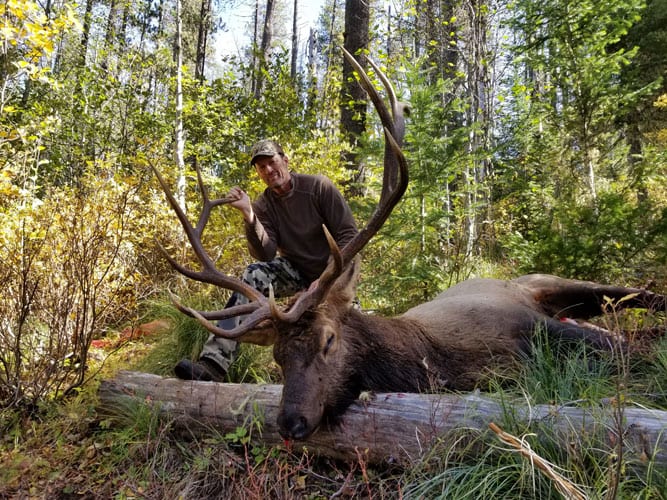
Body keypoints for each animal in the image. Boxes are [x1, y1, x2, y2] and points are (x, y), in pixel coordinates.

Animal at [152, 49, 667, 441]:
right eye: (277, 357)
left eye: (329, 340)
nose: (290, 423)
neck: (439, 358)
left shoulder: (530, 325)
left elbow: (623, 350)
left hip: (551, 283)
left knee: (635, 295)